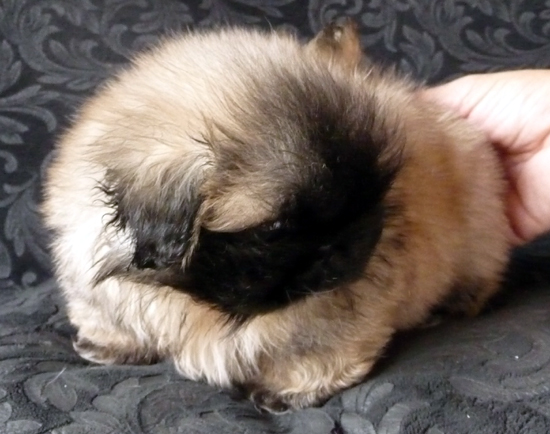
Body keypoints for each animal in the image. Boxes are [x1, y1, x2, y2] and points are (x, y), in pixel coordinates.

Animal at [41, 20, 510, 412]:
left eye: (373, 198)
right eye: (276, 229)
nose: (347, 242)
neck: (200, 303)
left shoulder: (338, 313)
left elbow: (314, 352)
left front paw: (286, 389)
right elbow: (107, 316)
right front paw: (111, 346)